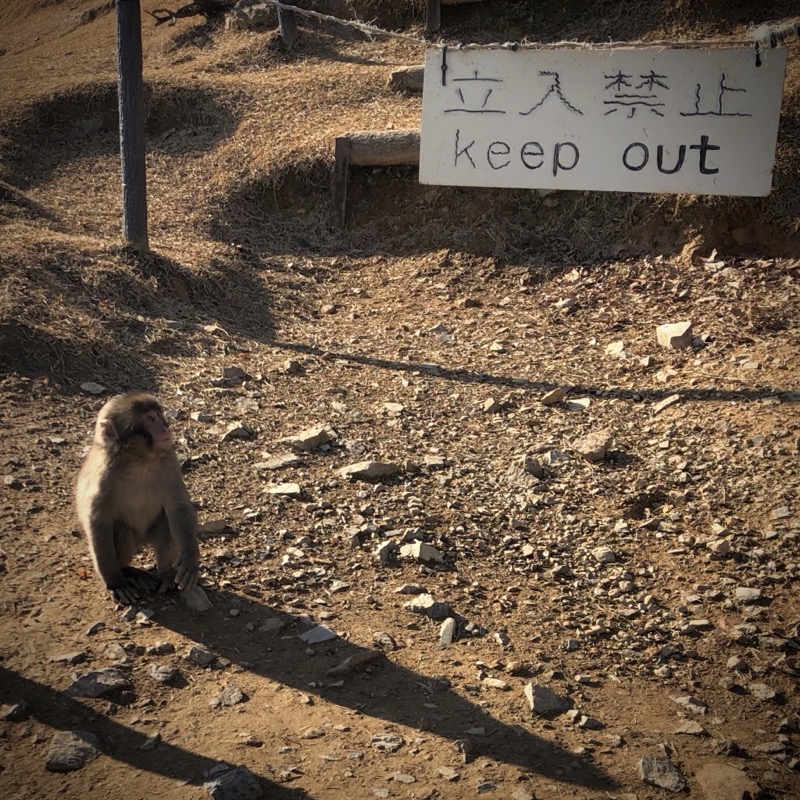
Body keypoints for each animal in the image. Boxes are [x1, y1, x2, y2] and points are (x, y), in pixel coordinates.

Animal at [76, 391, 200, 605]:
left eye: (158, 416)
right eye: (149, 420)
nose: (164, 428)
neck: (138, 460)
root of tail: (142, 540)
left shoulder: (168, 459)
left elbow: (178, 507)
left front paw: (189, 558)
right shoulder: (103, 475)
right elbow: (98, 522)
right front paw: (115, 583)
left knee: (166, 521)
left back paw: (166, 574)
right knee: (121, 531)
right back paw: (128, 572)